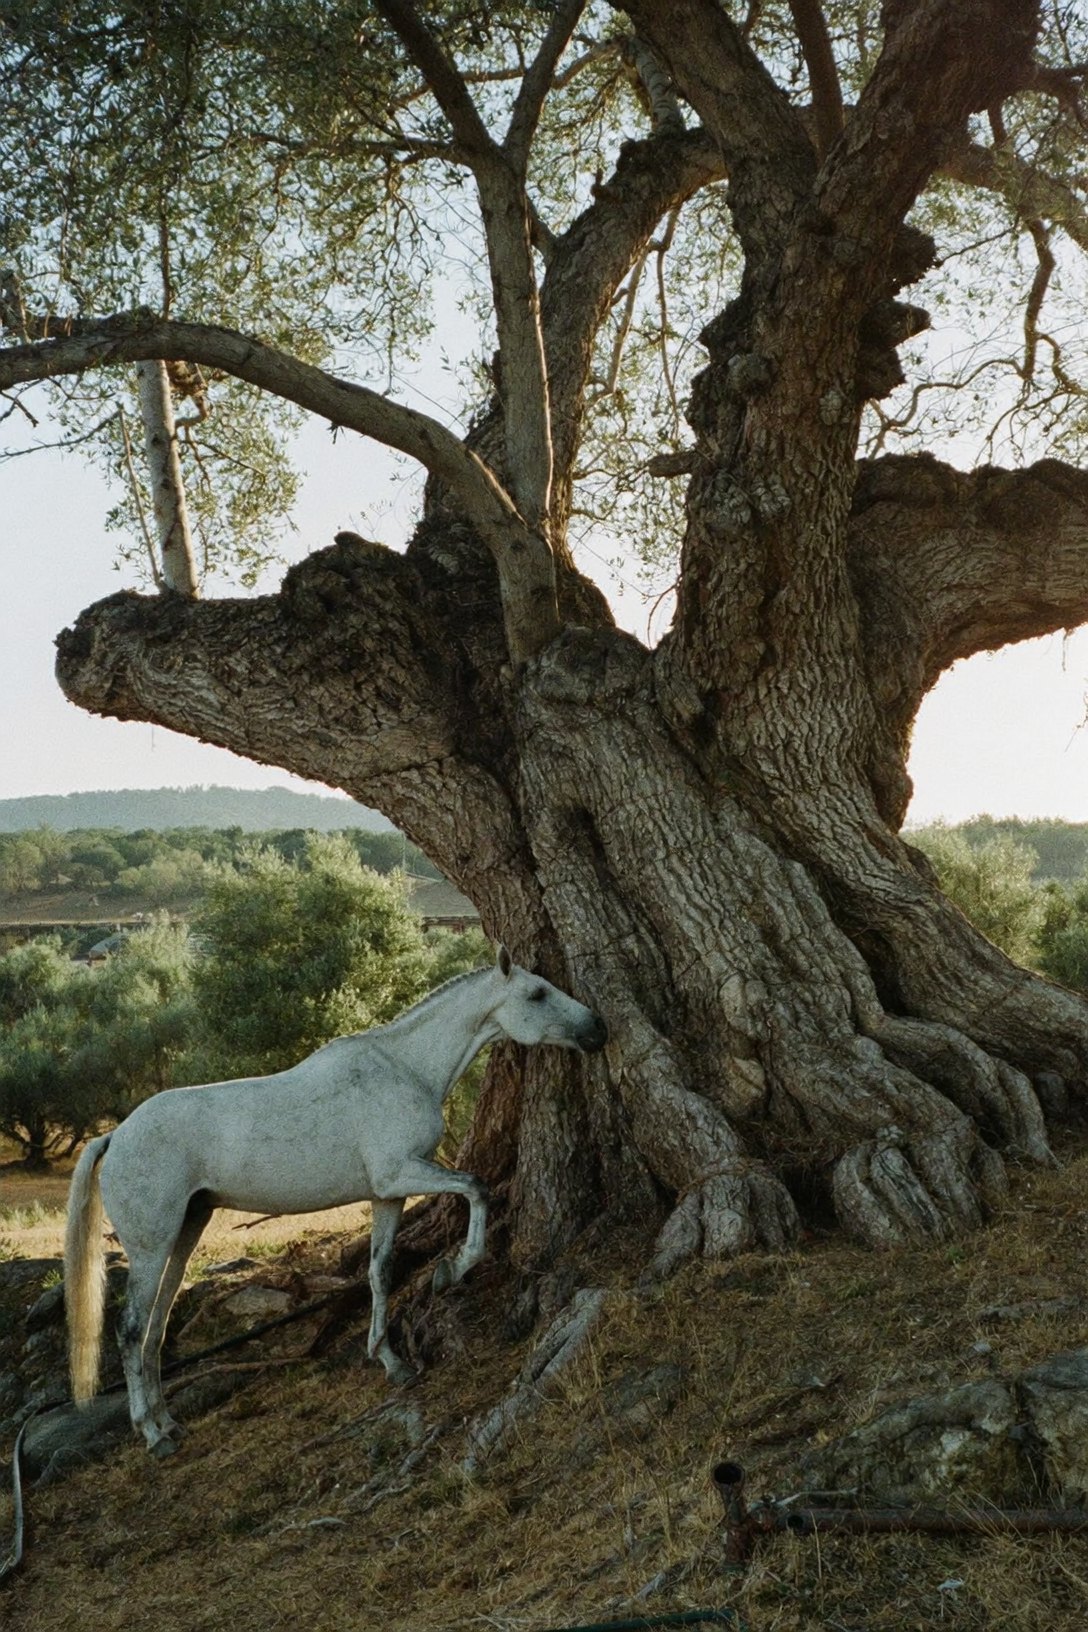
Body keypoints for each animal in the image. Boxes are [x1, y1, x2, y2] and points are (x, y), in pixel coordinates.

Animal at [64, 946, 607, 1456]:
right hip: (151, 1245)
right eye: (537, 994)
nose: (598, 1029)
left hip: (185, 1232)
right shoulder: (403, 1172)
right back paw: (153, 1434)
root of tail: (115, 1136)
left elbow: (379, 1272)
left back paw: (169, 1421)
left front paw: (391, 1361)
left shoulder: (388, 1195)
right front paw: (451, 1270)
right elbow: (477, 1187)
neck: (404, 1068)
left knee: (156, 1327)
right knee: (131, 1329)